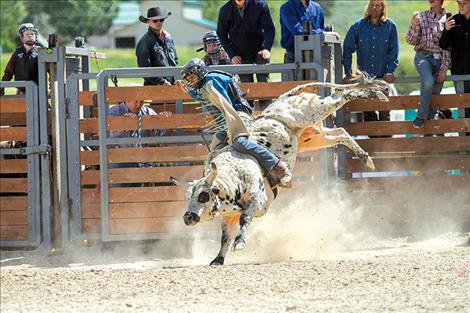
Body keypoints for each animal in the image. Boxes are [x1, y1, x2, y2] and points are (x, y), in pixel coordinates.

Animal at [171, 72, 388, 264]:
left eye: (203, 195)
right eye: (187, 196)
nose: (188, 217)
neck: (230, 179)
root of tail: (279, 103)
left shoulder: (257, 199)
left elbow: (245, 218)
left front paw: (240, 243)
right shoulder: (228, 216)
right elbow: (225, 237)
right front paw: (218, 259)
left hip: (315, 110)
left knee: (341, 95)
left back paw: (377, 93)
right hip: (311, 137)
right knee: (341, 132)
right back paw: (365, 157)